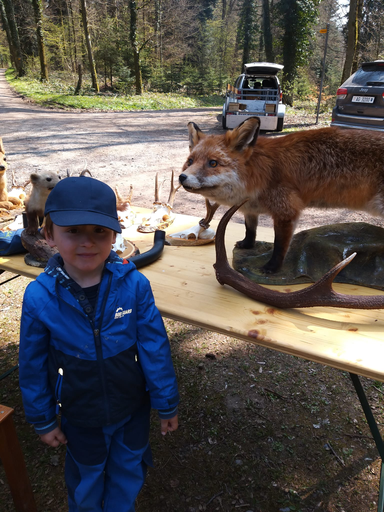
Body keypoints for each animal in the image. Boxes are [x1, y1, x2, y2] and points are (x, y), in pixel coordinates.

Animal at [178, 118, 384, 274]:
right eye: (190, 161)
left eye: (213, 163)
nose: (182, 177)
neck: (260, 174)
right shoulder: (250, 208)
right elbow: (250, 229)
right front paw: (247, 244)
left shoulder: (286, 211)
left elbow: (279, 246)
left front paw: (272, 267)